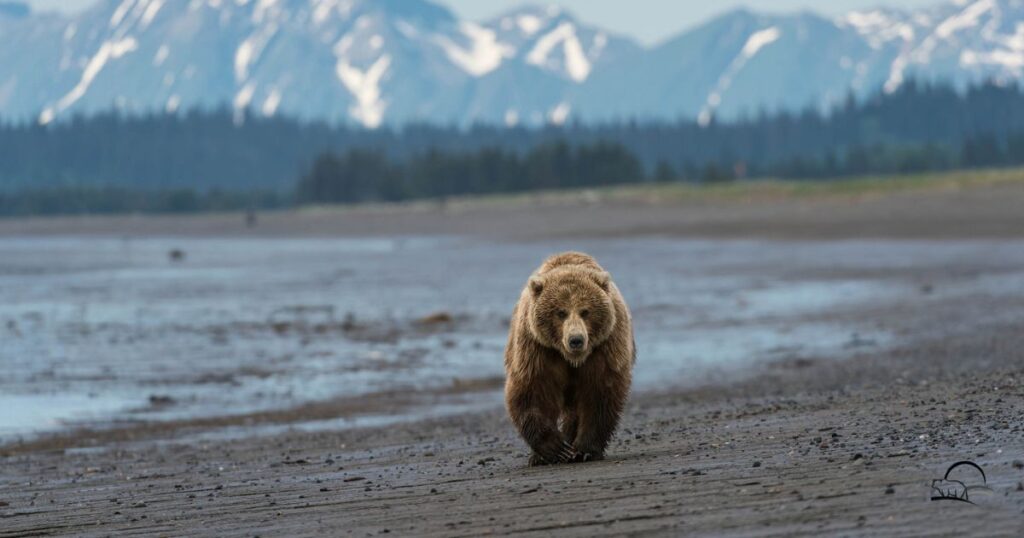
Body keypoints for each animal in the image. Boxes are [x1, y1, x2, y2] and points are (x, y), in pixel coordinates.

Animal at [503, 250, 630, 463]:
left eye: (585, 311)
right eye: (560, 312)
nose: (576, 340)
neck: (572, 358)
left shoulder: (604, 347)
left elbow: (599, 392)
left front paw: (584, 450)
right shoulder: (538, 349)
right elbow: (533, 389)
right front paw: (554, 448)